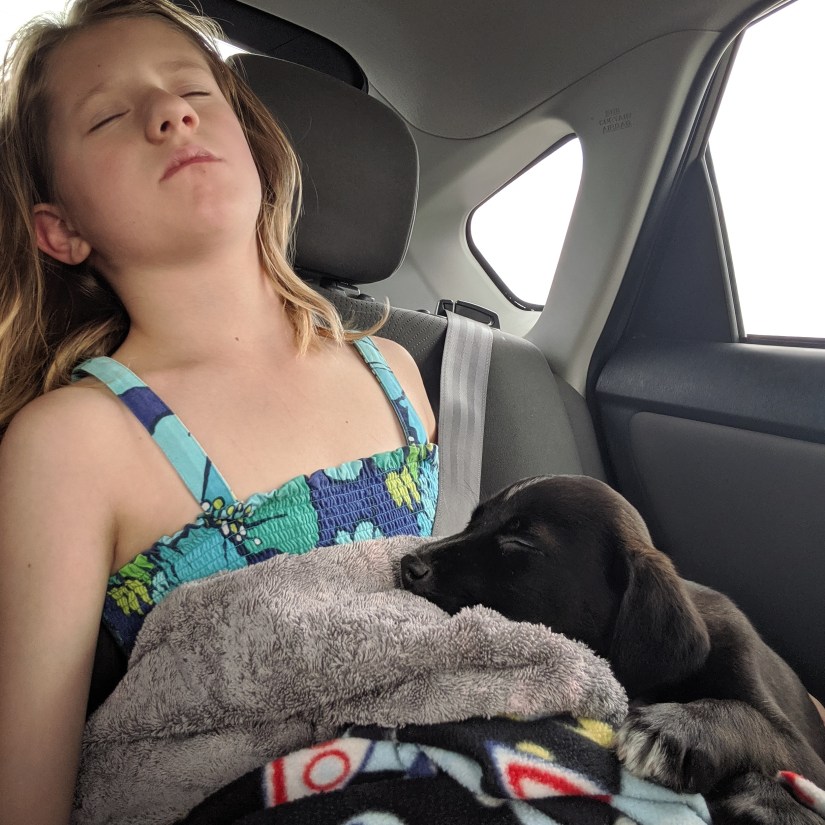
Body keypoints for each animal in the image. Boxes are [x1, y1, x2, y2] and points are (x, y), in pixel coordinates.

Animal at [400, 475, 825, 823]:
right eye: (473, 523)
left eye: (520, 543)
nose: (407, 564)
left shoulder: (804, 757)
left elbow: (750, 720)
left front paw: (676, 728)